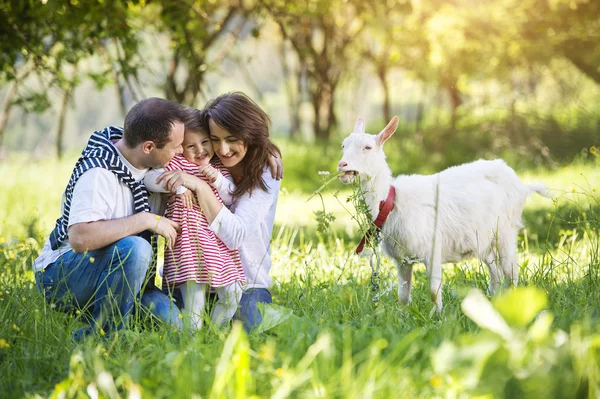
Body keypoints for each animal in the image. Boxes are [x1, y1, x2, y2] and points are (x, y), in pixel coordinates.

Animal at [336, 117, 552, 314]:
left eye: (368, 147)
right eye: (343, 145)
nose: (342, 164)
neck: (391, 202)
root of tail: (521, 185)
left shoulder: (432, 248)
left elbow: (433, 290)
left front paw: (438, 318)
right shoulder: (402, 260)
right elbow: (403, 296)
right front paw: (404, 317)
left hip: (506, 230)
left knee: (510, 271)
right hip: (483, 238)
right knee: (495, 271)